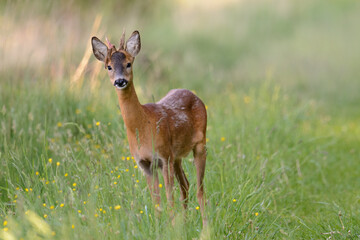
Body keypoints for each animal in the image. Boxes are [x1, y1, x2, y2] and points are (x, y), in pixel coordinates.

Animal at [91, 30, 207, 225]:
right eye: (108, 67)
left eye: (128, 63)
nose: (120, 81)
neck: (143, 126)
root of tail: (194, 95)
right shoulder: (144, 163)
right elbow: (156, 202)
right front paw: (161, 226)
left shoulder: (164, 156)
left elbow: (169, 197)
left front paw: (172, 225)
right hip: (177, 156)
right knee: (185, 185)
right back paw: (185, 223)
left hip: (200, 144)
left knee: (200, 190)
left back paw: (205, 227)